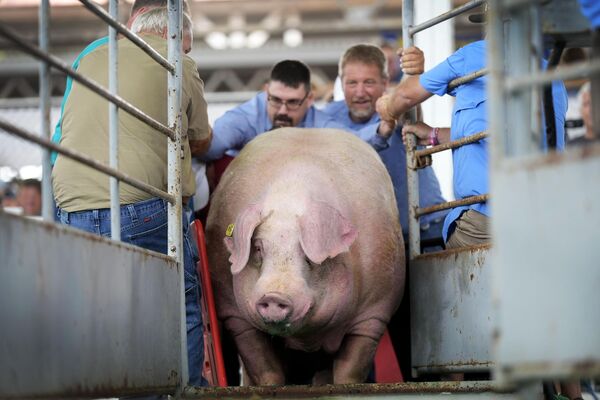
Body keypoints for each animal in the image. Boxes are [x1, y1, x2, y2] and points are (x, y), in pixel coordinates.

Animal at [204, 128, 406, 384]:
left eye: (306, 253)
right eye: (258, 248)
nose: (274, 295)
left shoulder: (375, 313)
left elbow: (351, 369)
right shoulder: (233, 315)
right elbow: (264, 367)